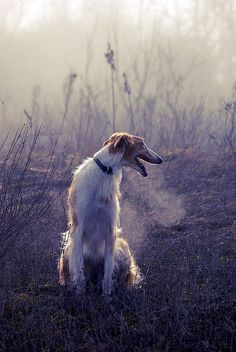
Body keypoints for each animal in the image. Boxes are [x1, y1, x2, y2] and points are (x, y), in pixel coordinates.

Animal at [59, 132, 162, 296]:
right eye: (142, 143)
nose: (160, 159)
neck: (105, 170)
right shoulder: (78, 229)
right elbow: (80, 273)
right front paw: (80, 295)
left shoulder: (110, 230)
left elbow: (107, 274)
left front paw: (107, 297)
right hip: (68, 247)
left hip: (122, 246)